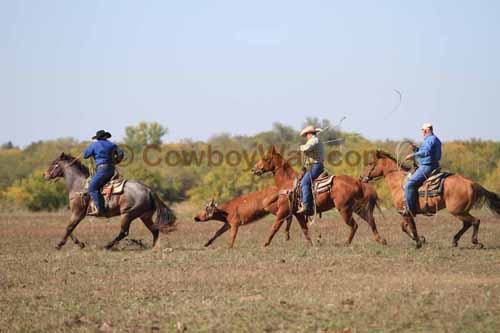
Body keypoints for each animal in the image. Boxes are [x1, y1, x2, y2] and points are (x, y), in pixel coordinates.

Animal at [43, 153, 176, 249]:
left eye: (55, 163)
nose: (45, 175)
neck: (79, 184)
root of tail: (148, 190)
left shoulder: (77, 213)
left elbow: (69, 228)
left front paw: (59, 244)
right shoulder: (78, 214)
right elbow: (69, 228)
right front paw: (80, 244)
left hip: (127, 214)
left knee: (124, 232)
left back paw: (108, 245)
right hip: (145, 216)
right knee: (154, 230)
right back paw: (154, 247)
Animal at [250, 146, 386, 246]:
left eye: (265, 158)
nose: (253, 169)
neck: (288, 183)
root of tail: (357, 182)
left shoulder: (283, 211)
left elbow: (274, 227)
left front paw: (265, 244)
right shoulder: (298, 214)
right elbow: (305, 230)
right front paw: (311, 245)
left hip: (344, 209)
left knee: (354, 225)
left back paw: (347, 243)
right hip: (357, 207)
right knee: (370, 220)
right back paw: (381, 240)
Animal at [360, 149, 500, 248]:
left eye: (370, 163)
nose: (361, 177)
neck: (399, 182)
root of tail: (470, 183)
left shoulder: (406, 212)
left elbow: (411, 227)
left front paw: (418, 242)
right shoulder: (407, 213)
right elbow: (404, 227)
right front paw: (420, 239)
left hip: (457, 211)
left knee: (475, 221)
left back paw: (476, 242)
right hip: (461, 211)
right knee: (467, 223)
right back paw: (455, 241)